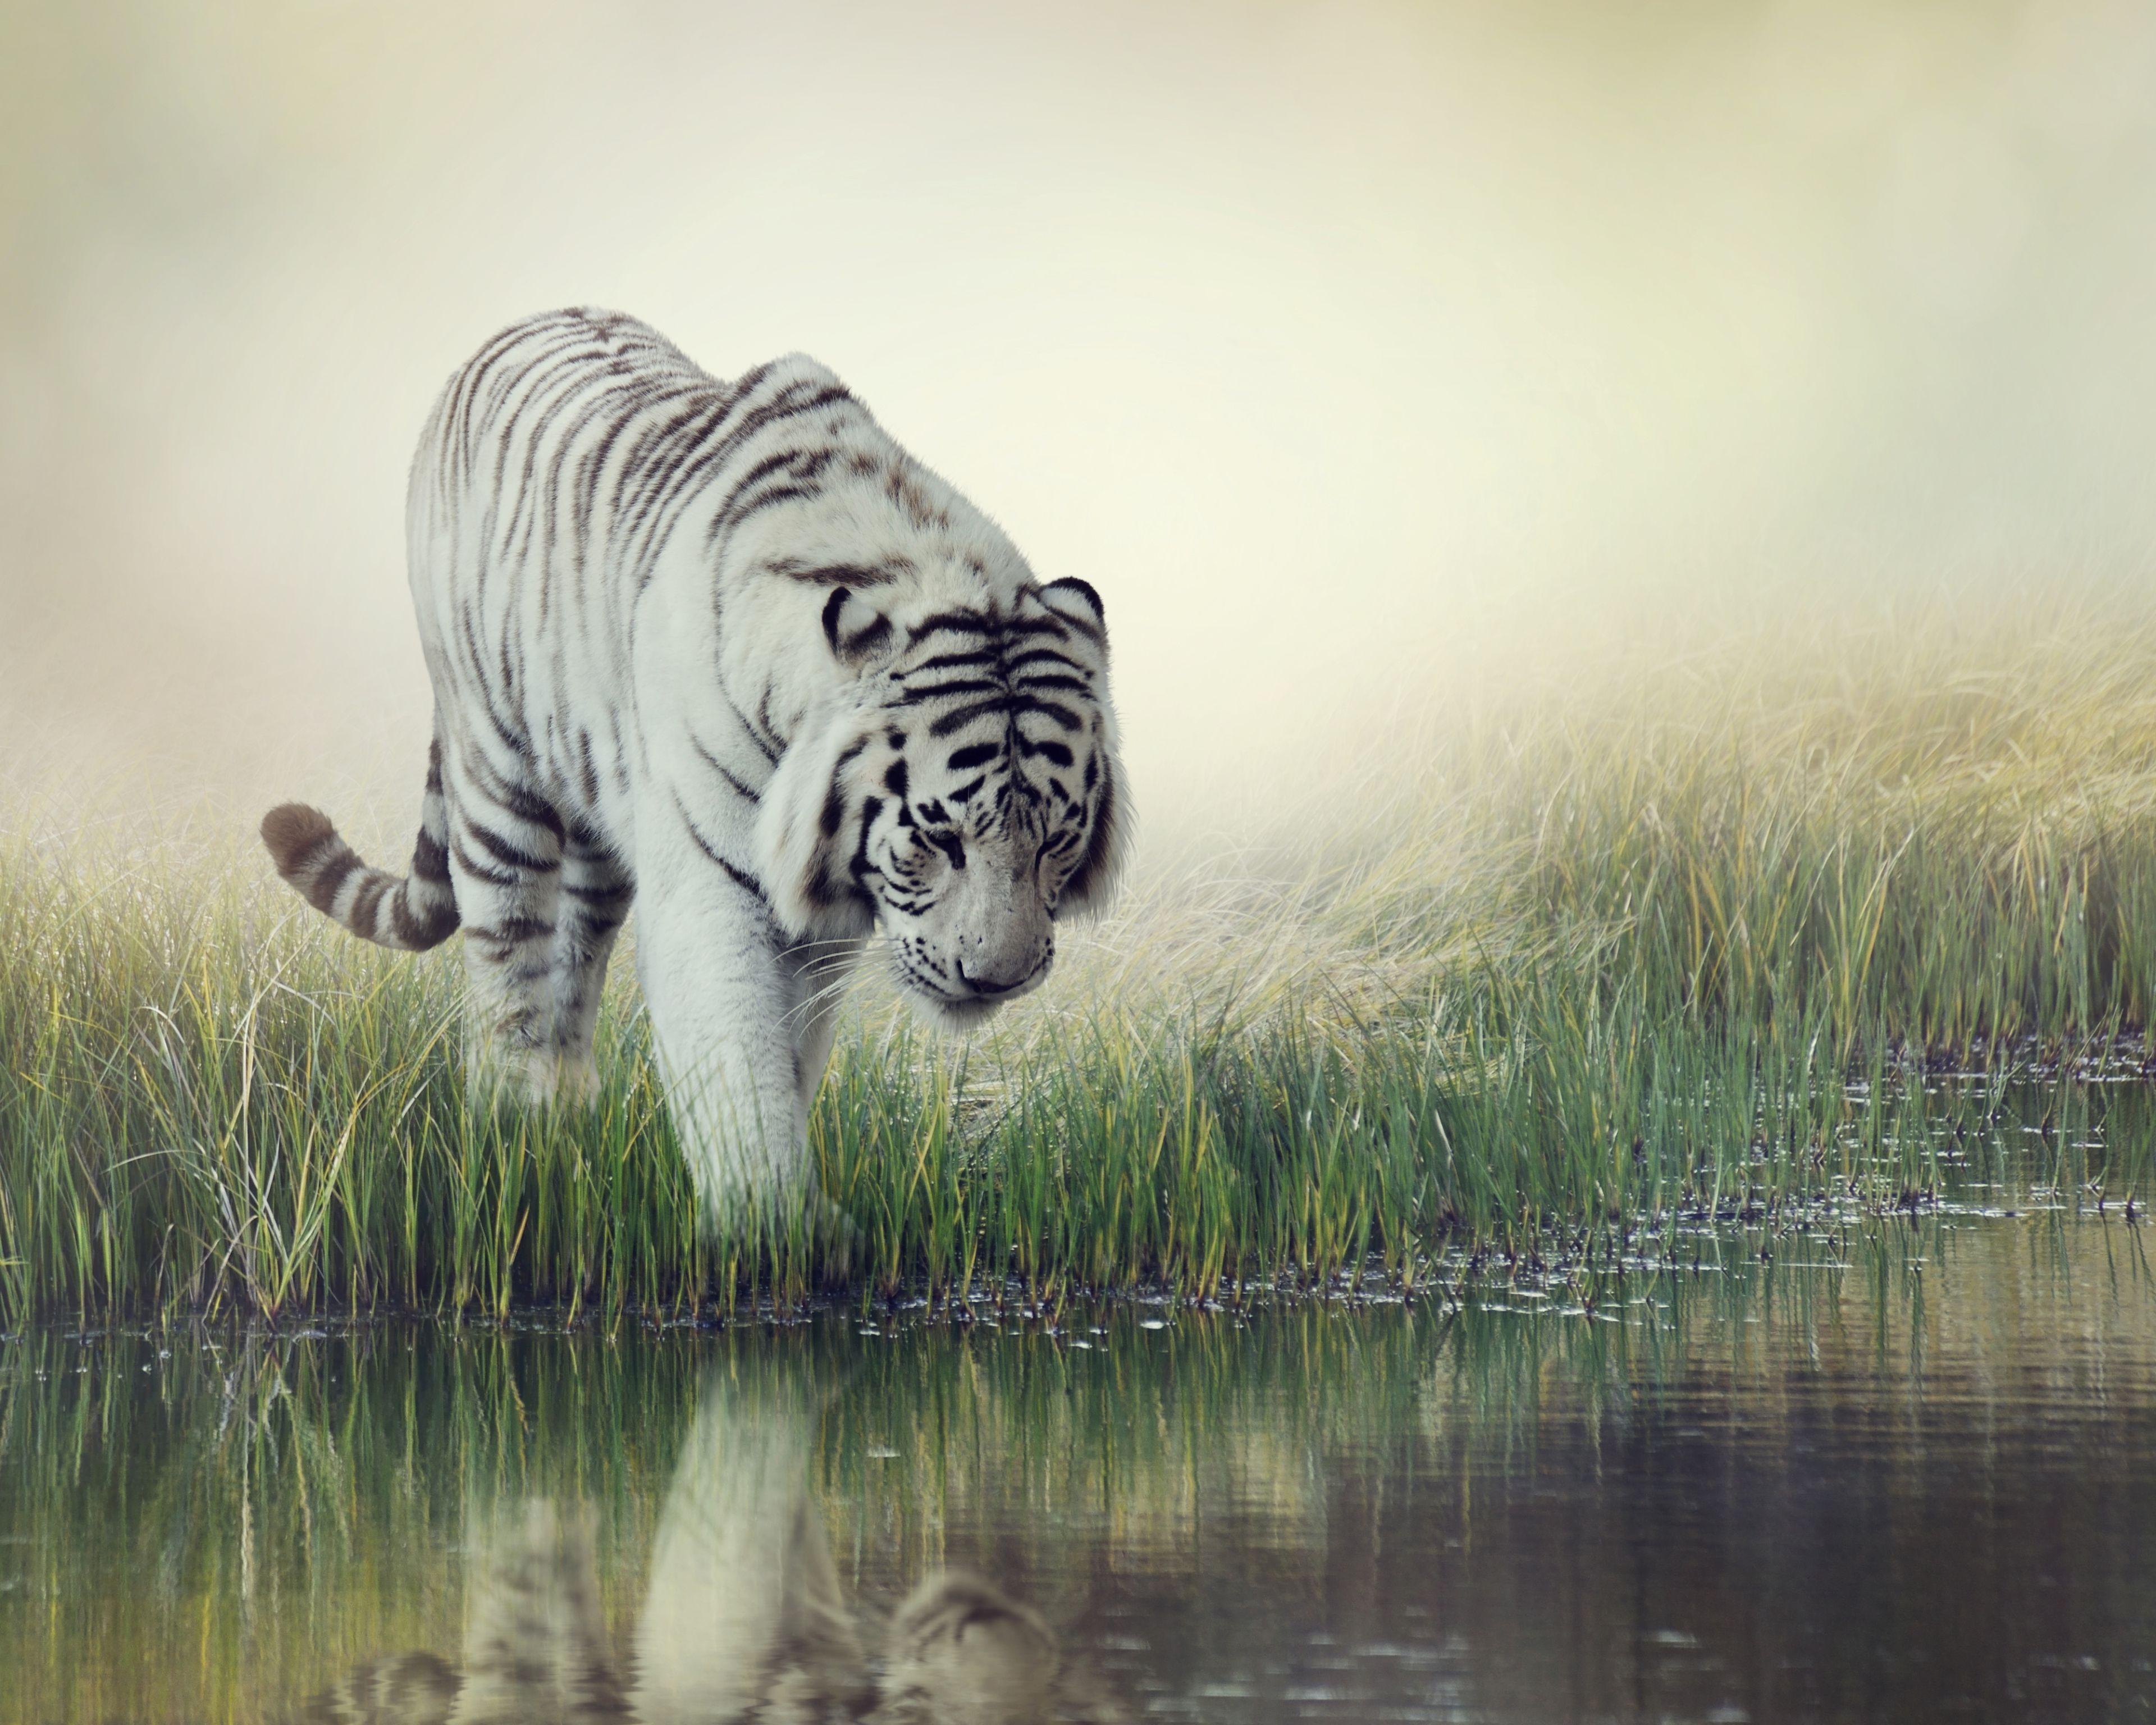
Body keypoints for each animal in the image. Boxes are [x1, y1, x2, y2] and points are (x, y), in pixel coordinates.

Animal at [260, 309, 1129, 1224]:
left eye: (1055, 842)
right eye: (939, 839)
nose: (996, 980)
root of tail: (518, 327)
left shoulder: (816, 927)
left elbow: (789, 1054)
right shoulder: (711, 889)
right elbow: (738, 1058)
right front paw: (773, 1224)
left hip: (601, 824)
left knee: (573, 966)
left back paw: (571, 1118)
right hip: (495, 778)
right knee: (508, 968)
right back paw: (515, 1130)